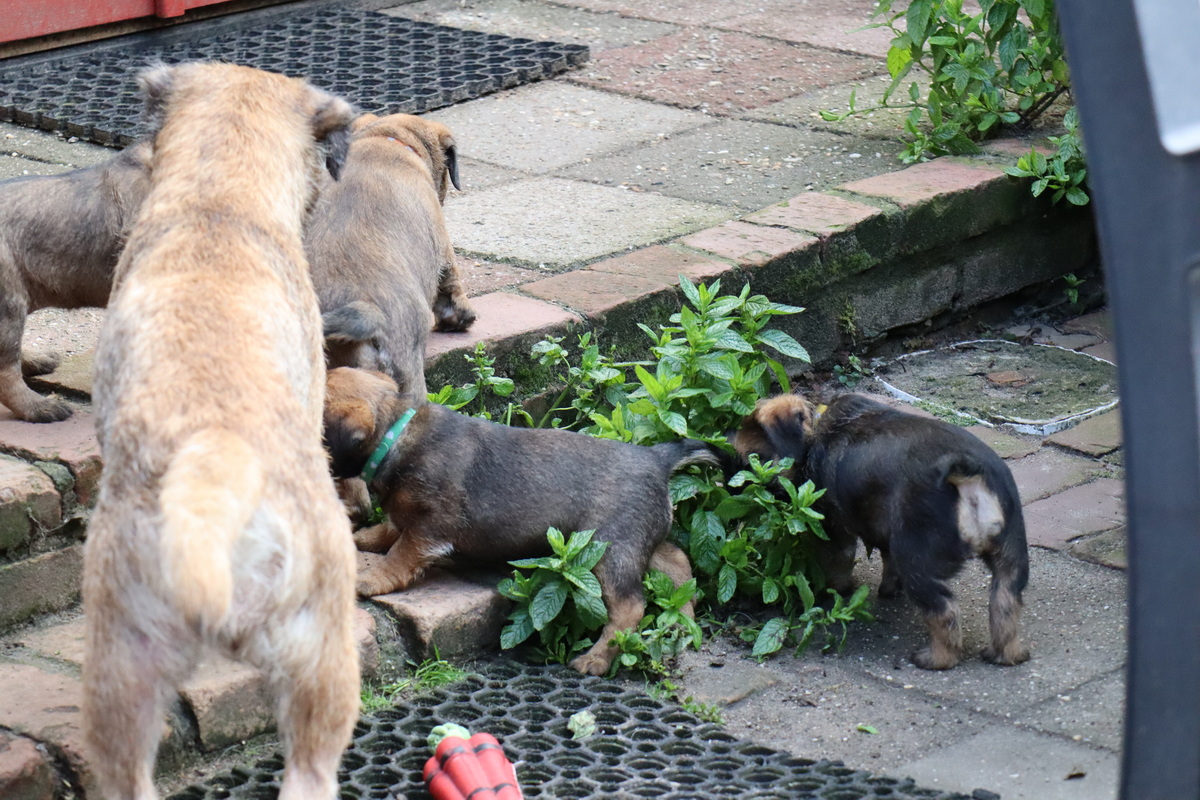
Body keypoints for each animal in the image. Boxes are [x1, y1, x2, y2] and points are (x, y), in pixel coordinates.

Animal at [322, 366, 715, 676]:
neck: (396, 435)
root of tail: (657, 459)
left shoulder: (429, 527)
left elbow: (401, 554)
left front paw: (372, 578)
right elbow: (391, 528)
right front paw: (365, 537)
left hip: (610, 550)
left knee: (629, 607)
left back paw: (597, 659)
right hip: (638, 539)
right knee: (677, 562)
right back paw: (682, 621)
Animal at [733, 393, 1030, 670]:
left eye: (754, 460)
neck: (816, 429)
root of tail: (967, 472)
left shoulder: (834, 532)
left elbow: (837, 565)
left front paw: (835, 590)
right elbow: (887, 562)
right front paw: (888, 589)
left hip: (917, 562)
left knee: (944, 611)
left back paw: (936, 659)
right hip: (1011, 555)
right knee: (1005, 603)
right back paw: (1007, 655)